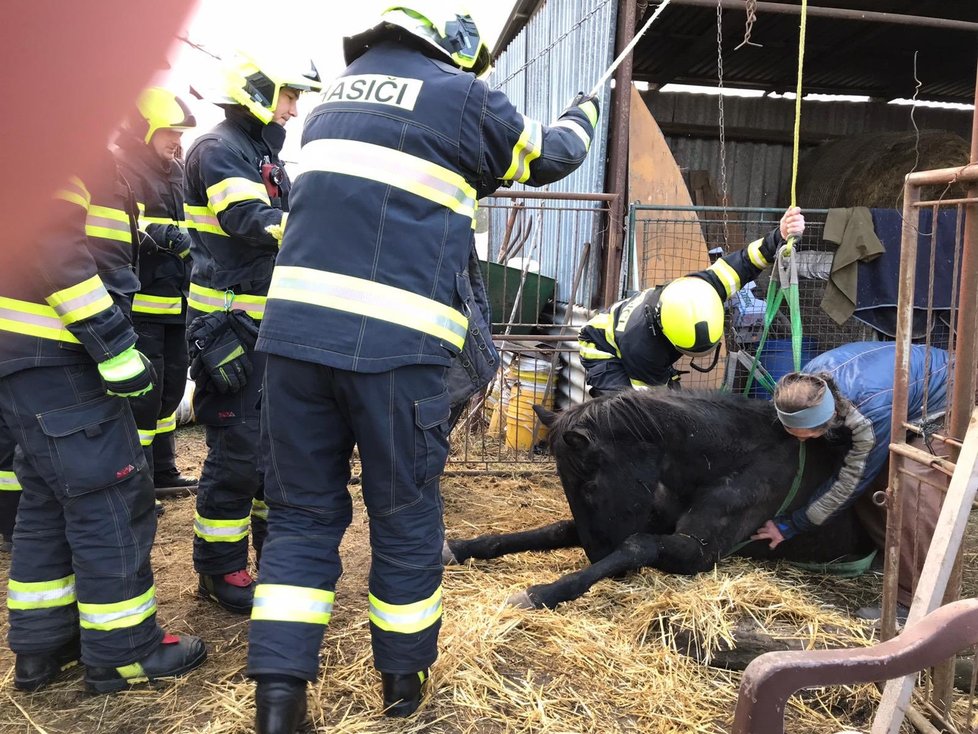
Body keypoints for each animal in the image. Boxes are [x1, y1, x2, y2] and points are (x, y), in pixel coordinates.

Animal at [442, 392, 868, 608]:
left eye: (590, 485)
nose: (596, 555)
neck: (733, 457)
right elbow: (553, 531)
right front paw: (458, 548)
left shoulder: (698, 552)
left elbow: (637, 546)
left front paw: (542, 592)